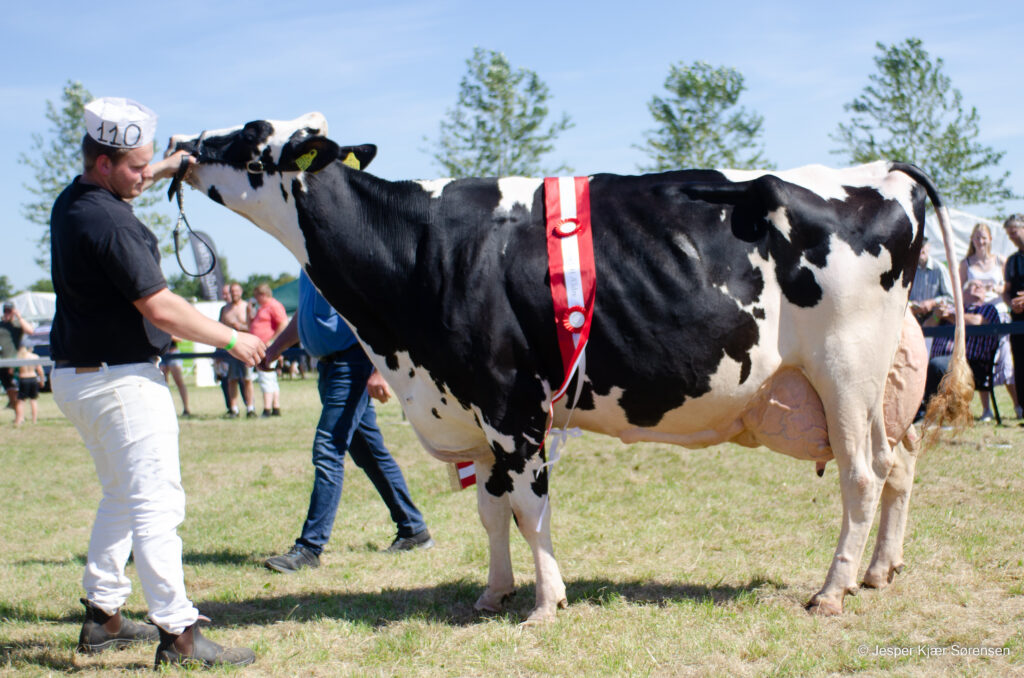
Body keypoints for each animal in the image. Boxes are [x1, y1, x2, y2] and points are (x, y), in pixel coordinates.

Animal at [167, 114, 966, 622]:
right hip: (876, 388)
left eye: (249, 139)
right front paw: (494, 594)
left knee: (864, 476)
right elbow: (492, 510)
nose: (180, 144)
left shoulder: (513, 404)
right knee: (899, 463)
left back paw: (832, 590)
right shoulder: (475, 412)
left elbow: (530, 509)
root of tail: (876, 170)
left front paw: (547, 604)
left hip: (846, 371)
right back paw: (878, 572)